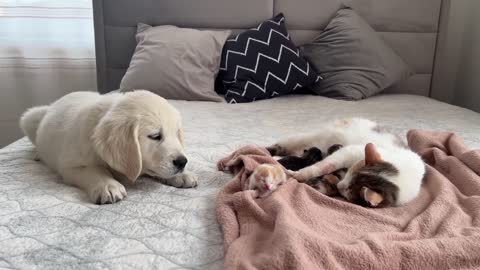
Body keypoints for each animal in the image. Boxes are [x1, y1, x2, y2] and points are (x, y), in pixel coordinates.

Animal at [20, 89, 197, 204]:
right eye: (155, 136)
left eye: (176, 134)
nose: (182, 162)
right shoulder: (71, 166)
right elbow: (93, 171)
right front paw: (108, 185)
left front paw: (182, 175)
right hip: (29, 117)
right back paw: (37, 153)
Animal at [268, 117, 426, 208]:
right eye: (350, 173)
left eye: (349, 190)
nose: (339, 186)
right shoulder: (349, 152)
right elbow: (322, 166)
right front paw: (299, 174)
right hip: (309, 137)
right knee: (283, 145)